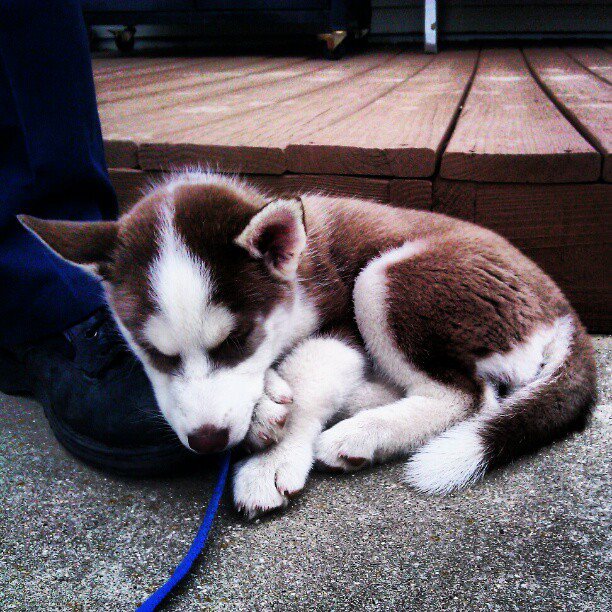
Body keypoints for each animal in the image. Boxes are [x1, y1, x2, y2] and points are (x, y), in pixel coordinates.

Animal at [21, 172, 597, 518]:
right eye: (153, 353)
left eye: (239, 339)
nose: (208, 443)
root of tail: (560, 302)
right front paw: (263, 405)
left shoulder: (339, 316)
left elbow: (307, 378)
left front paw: (271, 461)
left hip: (383, 277)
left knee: (470, 396)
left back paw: (360, 430)